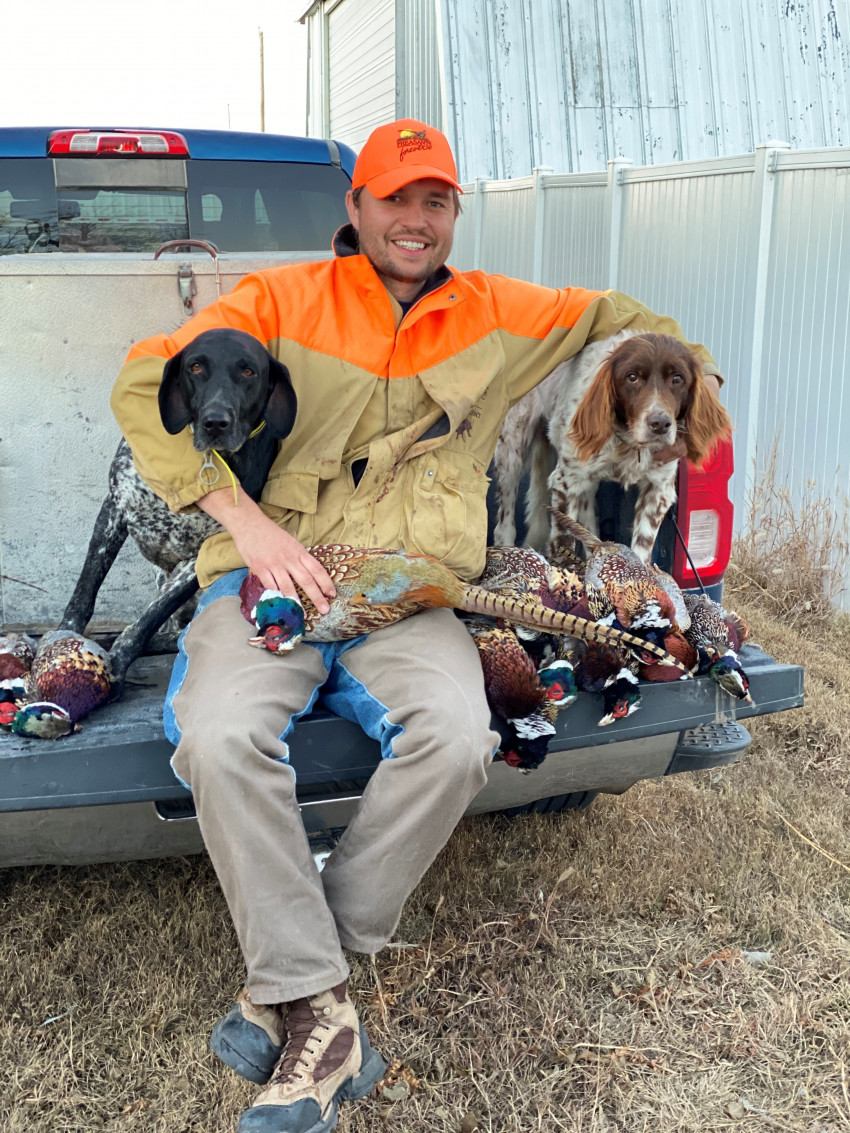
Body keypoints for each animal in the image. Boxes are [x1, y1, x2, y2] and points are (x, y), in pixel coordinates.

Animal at [58, 328, 296, 688]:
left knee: (173, 632)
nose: (215, 422)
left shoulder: (208, 552)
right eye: (195, 367)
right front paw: (63, 636)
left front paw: (118, 663)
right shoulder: (115, 507)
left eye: (248, 372)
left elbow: (150, 618)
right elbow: (85, 590)